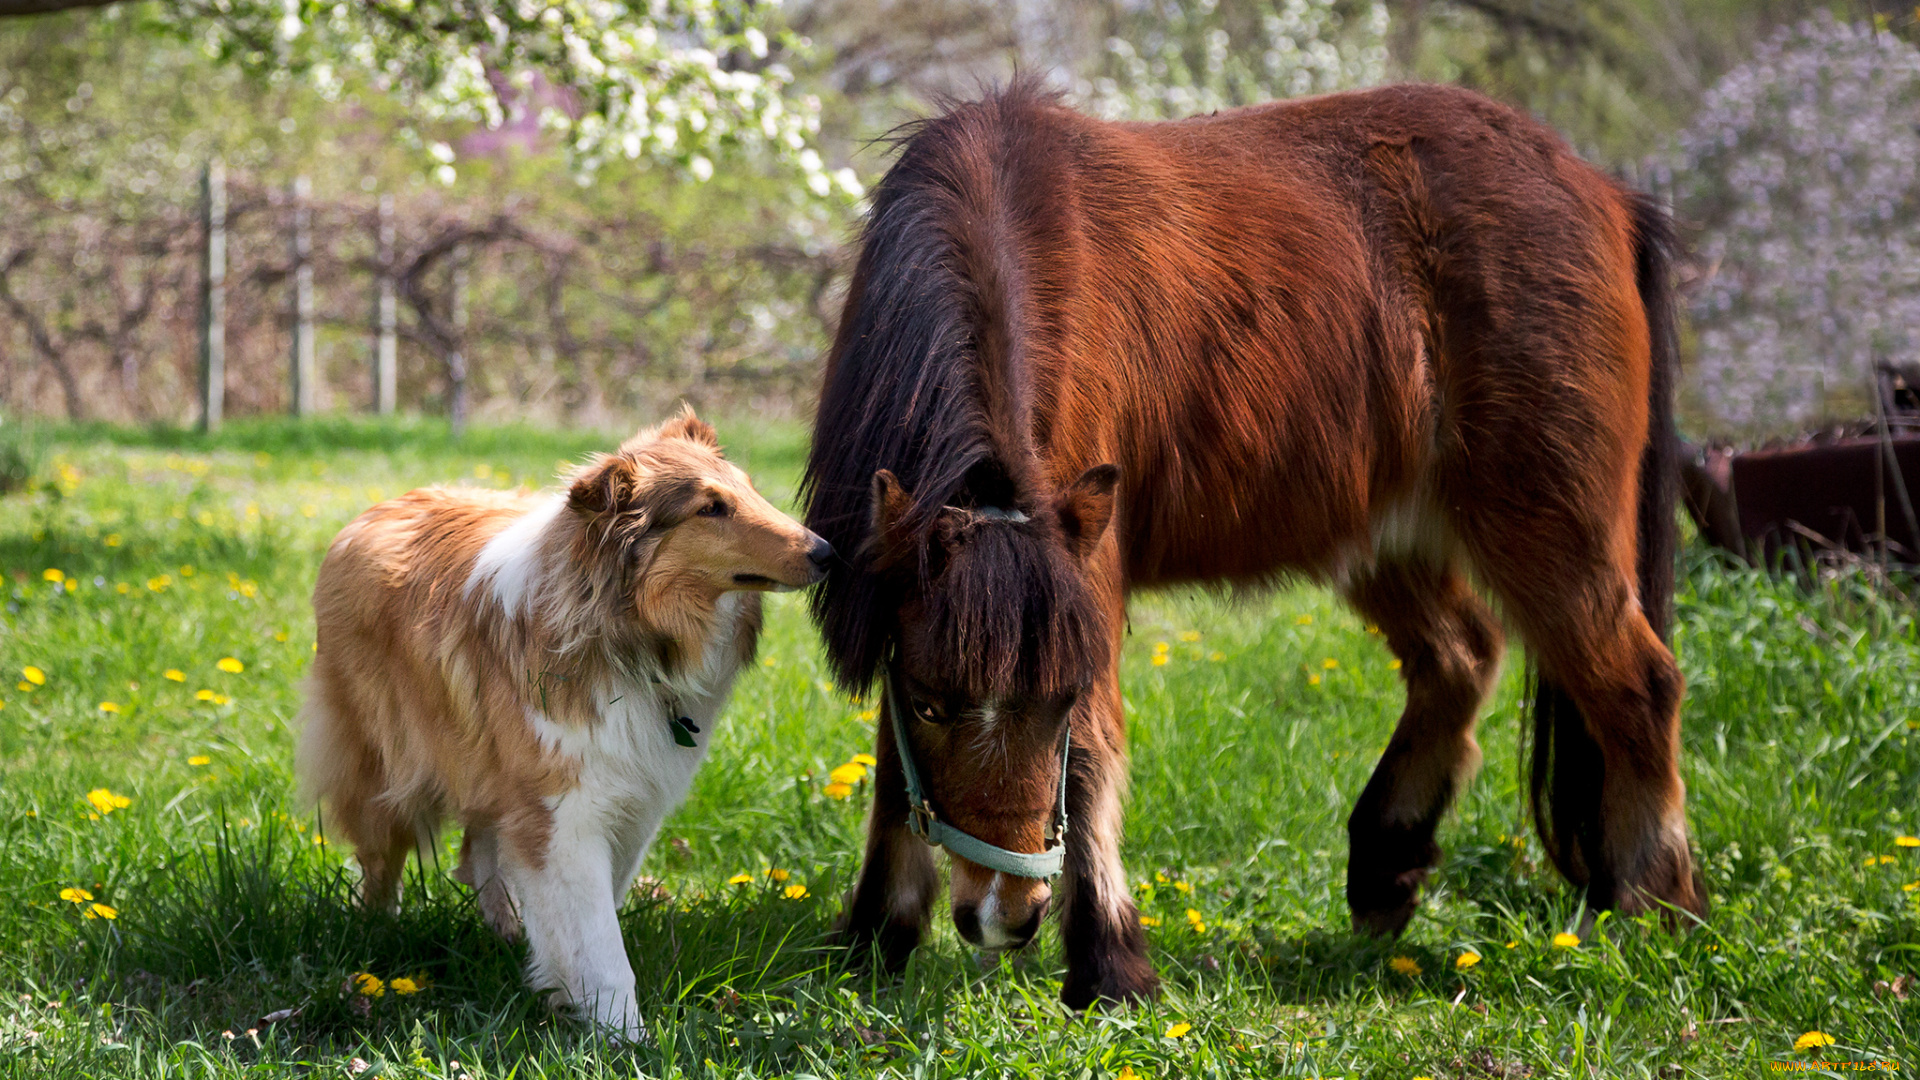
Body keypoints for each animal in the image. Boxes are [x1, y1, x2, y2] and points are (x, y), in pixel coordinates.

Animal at [295, 409, 829, 1037]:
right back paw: (378, 938)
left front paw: (563, 989)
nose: (828, 552)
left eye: (747, 488)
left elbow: (587, 912)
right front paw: (625, 1036)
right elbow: (600, 941)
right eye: (711, 508)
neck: (630, 634)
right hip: (382, 760)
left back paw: (503, 931)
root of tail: (375, 509)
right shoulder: (564, 811)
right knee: (382, 859)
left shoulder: (628, 801)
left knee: (478, 849)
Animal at [802, 79, 1704, 1006]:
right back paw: (1387, 865)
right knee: (1463, 653)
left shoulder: (1088, 580)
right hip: (1387, 534)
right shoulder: (911, 608)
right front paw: (874, 937)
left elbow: (1090, 756)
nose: (1006, 917)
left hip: (1548, 526)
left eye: (1057, 700)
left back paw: (1653, 908)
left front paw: (1110, 965)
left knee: (1639, 685)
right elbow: (895, 767)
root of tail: (1608, 195)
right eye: (932, 704)